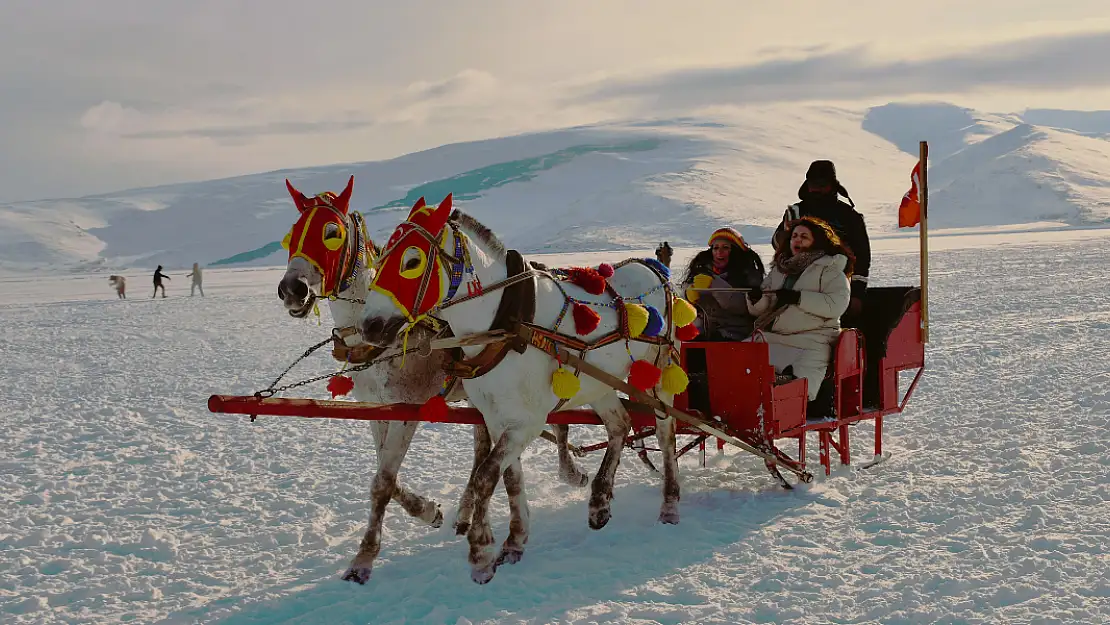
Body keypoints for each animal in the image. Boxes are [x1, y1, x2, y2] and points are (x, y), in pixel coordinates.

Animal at [276, 177, 590, 586]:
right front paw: (427, 510)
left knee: (555, 425)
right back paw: (467, 513)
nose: (292, 289)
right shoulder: (377, 409)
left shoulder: (408, 406)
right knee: (483, 448)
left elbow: (382, 481)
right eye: (292, 233)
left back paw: (570, 474)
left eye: (331, 232)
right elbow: (385, 474)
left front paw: (363, 559)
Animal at [359, 197, 679, 586]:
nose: (369, 325)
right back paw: (599, 501)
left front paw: (480, 553)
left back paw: (669, 504)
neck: (504, 321)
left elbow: (485, 476)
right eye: (381, 257)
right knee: (620, 424)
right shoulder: (497, 418)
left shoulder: (526, 422)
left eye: (412, 261)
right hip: (600, 383)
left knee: (665, 432)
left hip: (658, 376)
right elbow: (509, 478)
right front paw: (514, 541)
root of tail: (654, 267)